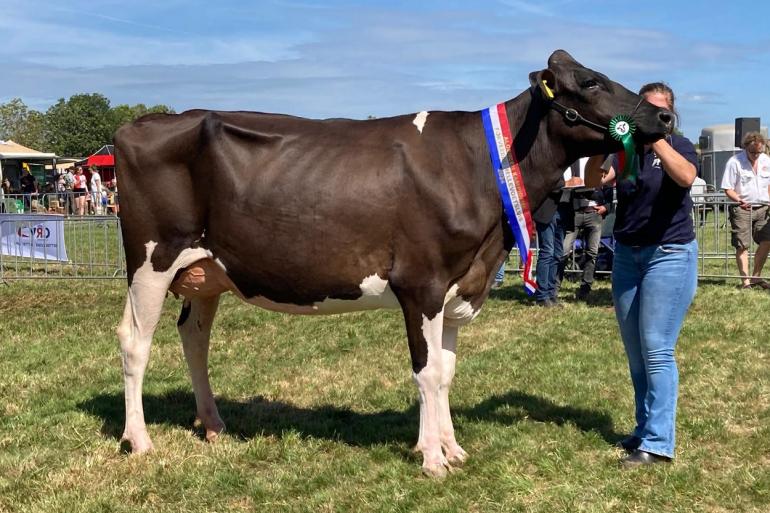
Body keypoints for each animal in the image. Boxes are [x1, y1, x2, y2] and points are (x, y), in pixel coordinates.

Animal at [114, 50, 672, 478]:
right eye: (591, 82)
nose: (666, 117)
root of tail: (142, 123)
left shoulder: (458, 286)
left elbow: (446, 371)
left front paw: (450, 448)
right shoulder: (421, 283)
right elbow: (426, 372)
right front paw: (432, 460)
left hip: (207, 272)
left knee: (195, 339)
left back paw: (213, 426)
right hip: (151, 260)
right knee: (135, 342)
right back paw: (138, 440)